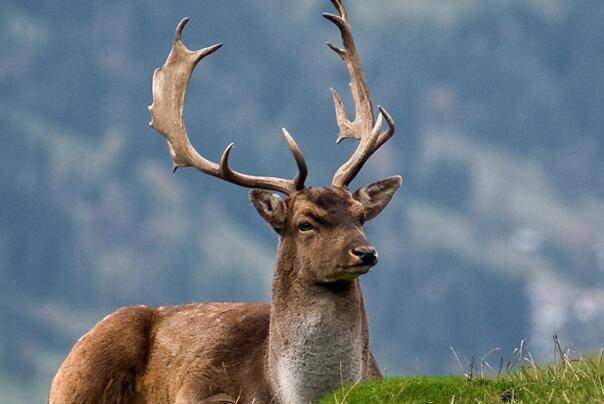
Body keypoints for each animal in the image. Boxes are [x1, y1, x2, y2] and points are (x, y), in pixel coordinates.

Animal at [50, 1, 402, 402]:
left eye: (361, 216)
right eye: (305, 222)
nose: (366, 252)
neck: (291, 391)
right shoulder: (199, 391)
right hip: (81, 374)